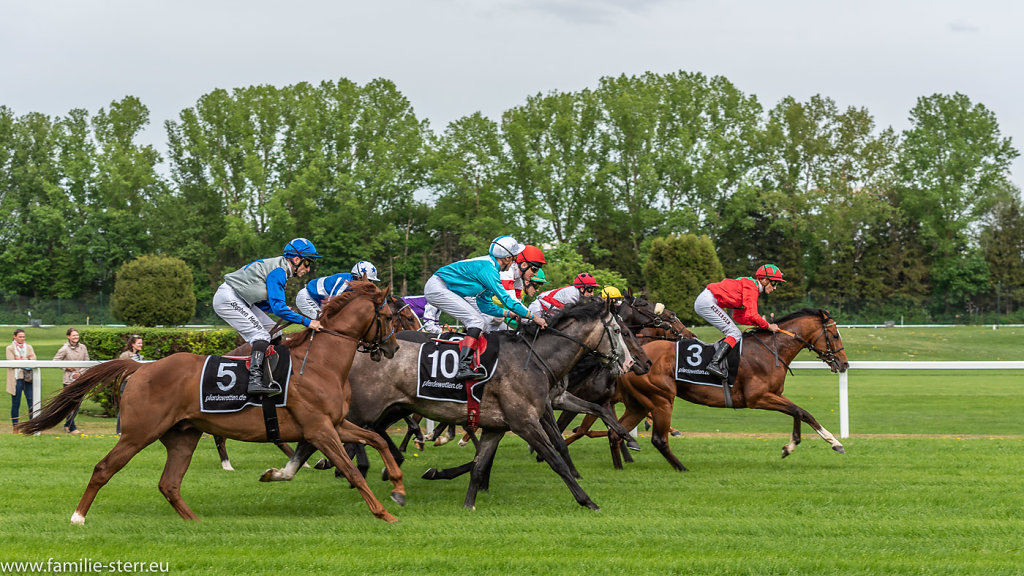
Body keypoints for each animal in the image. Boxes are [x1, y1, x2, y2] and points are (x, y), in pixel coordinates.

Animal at [19, 280, 403, 522]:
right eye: (388, 316)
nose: (394, 348)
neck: (319, 362)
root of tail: (141, 367)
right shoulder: (319, 428)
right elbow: (351, 469)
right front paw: (384, 513)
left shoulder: (336, 423)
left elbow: (377, 439)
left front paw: (397, 486)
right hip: (138, 432)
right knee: (104, 469)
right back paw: (78, 517)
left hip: (183, 435)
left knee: (169, 484)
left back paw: (196, 522)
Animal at [585, 307, 847, 469]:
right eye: (835, 335)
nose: (844, 364)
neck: (770, 350)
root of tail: (632, 359)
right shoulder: (758, 397)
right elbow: (802, 412)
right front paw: (831, 442)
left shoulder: (774, 395)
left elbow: (799, 413)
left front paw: (794, 446)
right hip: (661, 399)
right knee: (658, 439)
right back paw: (681, 468)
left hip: (639, 403)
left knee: (615, 433)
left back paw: (619, 468)